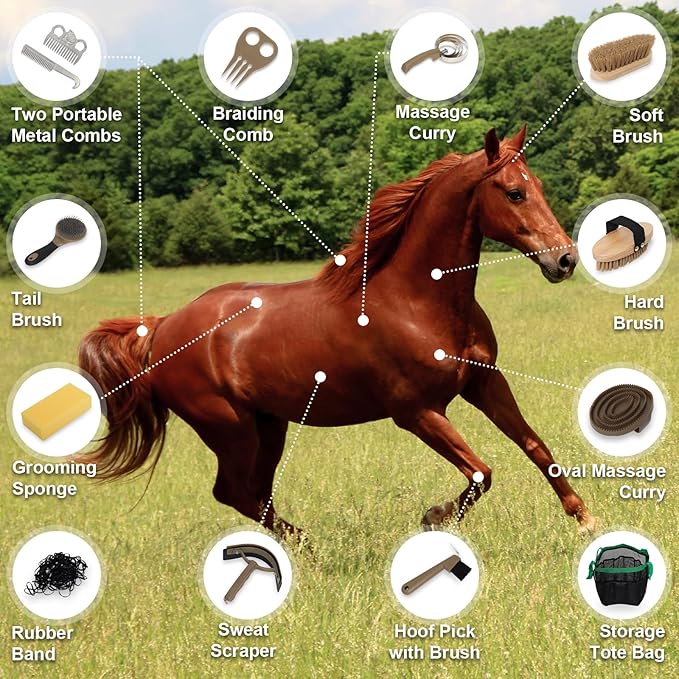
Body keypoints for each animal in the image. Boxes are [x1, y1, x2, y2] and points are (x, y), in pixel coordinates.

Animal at [78, 125, 597, 536]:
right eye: (514, 192)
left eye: (539, 185)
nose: (565, 259)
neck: (416, 301)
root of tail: (161, 328)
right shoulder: (417, 412)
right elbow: (481, 473)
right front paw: (433, 516)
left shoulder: (485, 382)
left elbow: (535, 446)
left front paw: (585, 519)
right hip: (230, 429)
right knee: (234, 492)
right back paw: (310, 550)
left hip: (269, 426)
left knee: (252, 493)